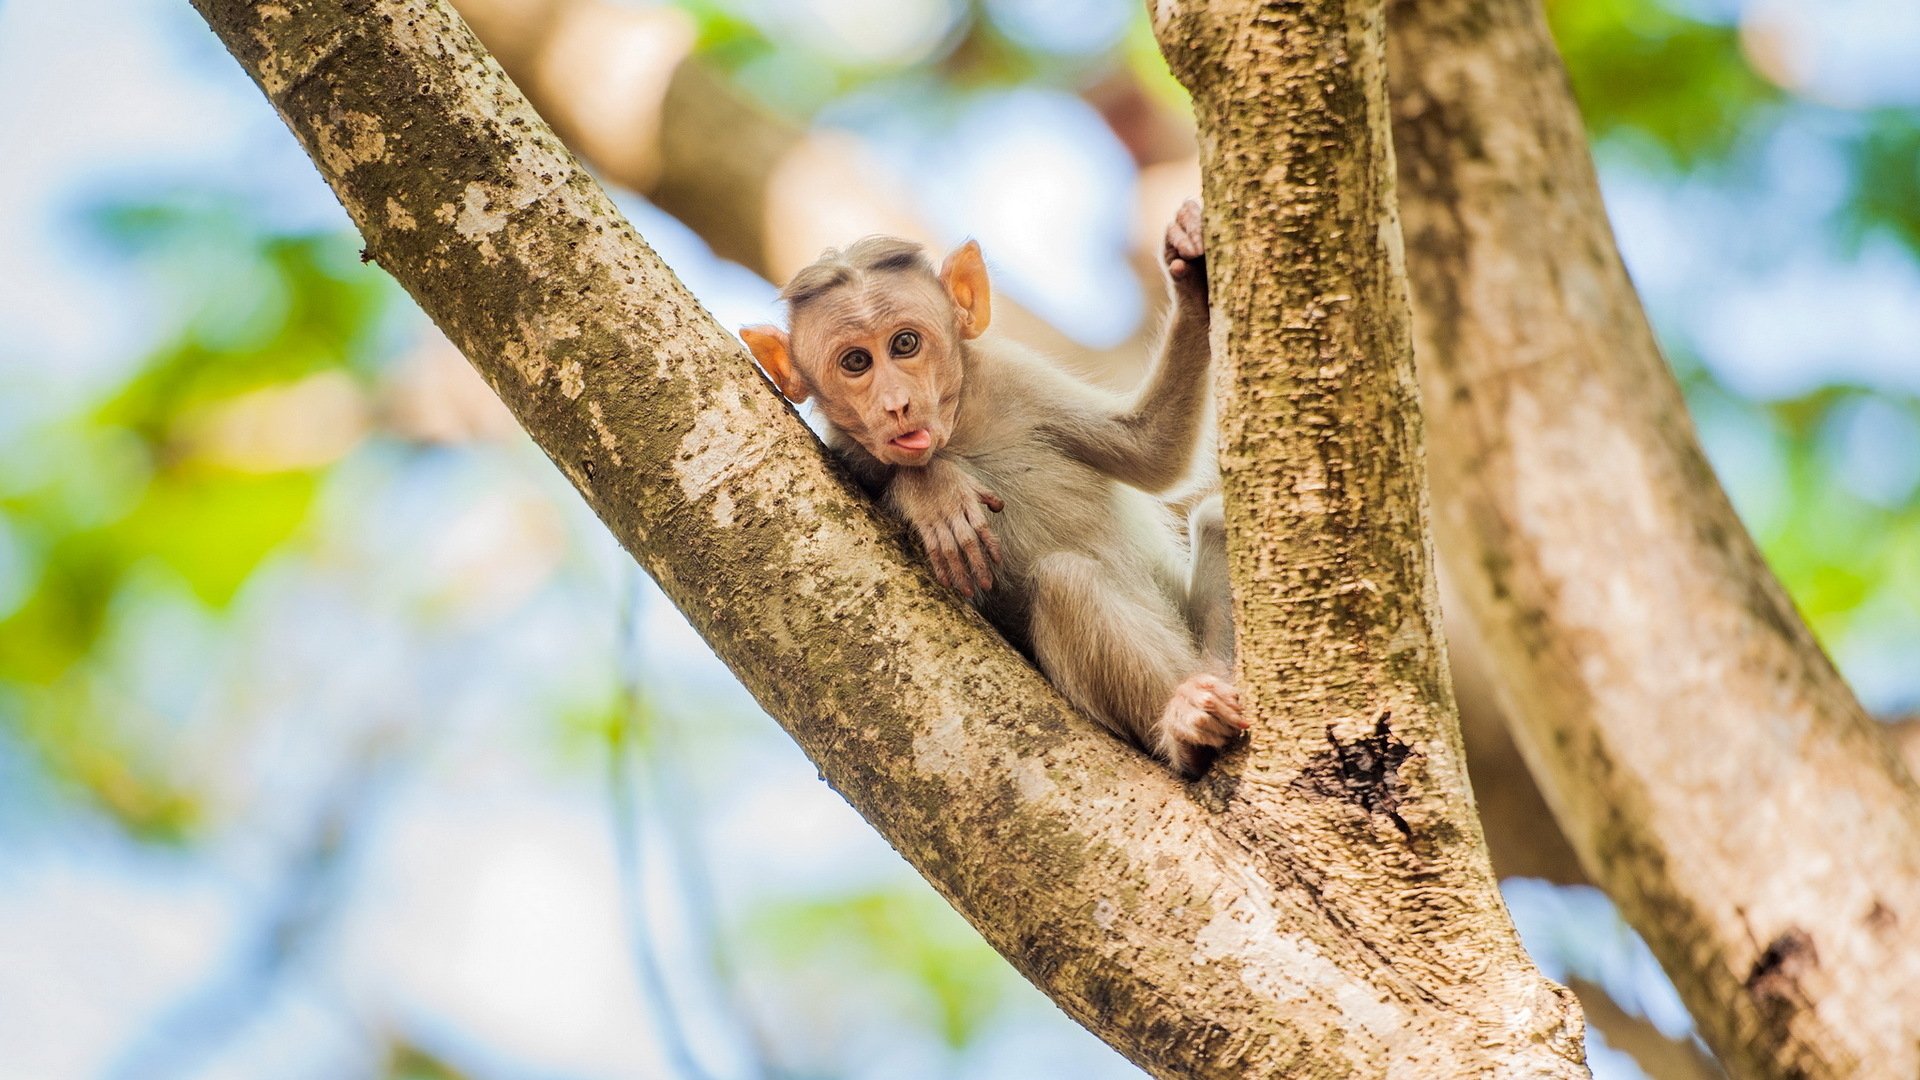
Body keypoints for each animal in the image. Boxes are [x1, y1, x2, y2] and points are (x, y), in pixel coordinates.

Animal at [740, 199, 1243, 778]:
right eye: (856, 362)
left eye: (905, 344)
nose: (895, 405)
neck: (958, 428)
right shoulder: (846, 449)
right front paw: (933, 489)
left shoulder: (1016, 379)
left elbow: (1153, 450)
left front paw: (1192, 272)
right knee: (1067, 582)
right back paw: (1186, 727)